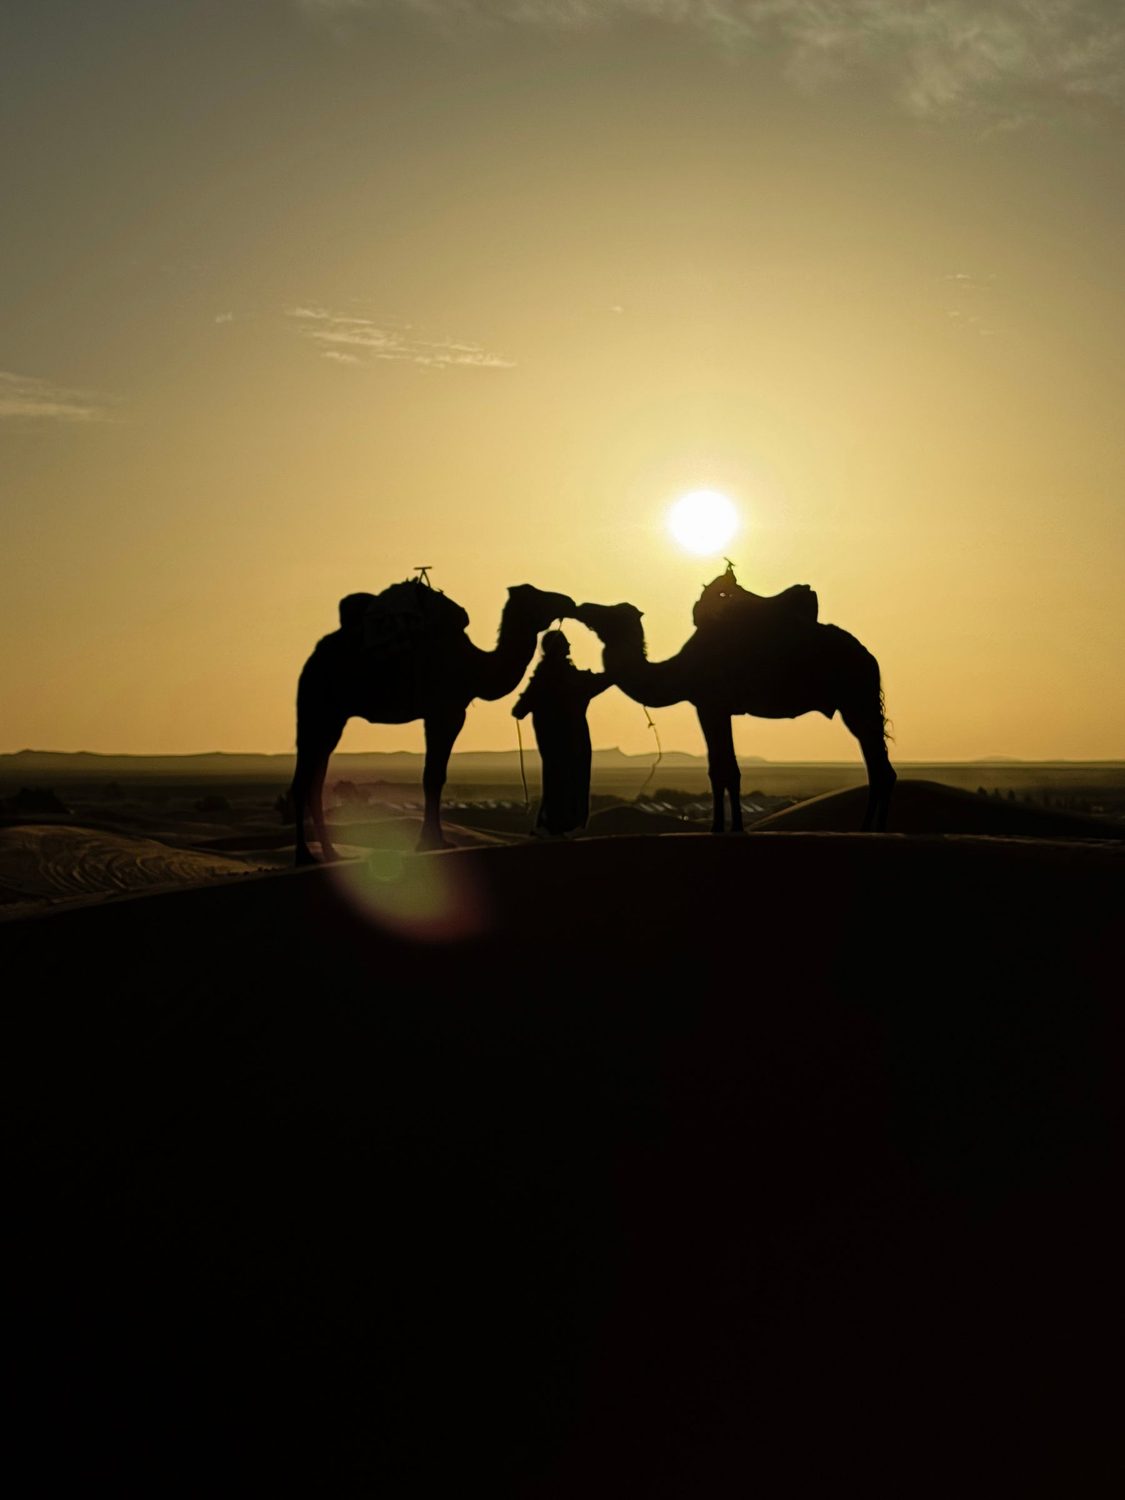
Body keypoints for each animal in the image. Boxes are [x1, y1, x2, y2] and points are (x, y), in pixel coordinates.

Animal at [292, 580, 575, 862]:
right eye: (537, 595)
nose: (568, 601)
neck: (475, 666)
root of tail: (313, 658)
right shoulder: (446, 712)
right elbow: (434, 776)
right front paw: (432, 841)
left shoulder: (437, 713)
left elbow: (433, 775)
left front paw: (432, 840)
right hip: (319, 710)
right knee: (303, 780)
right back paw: (306, 855)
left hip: (331, 719)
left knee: (315, 779)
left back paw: (332, 853)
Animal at [574, 587, 895, 833]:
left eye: (611, 612)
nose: (583, 606)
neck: (679, 669)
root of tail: (870, 657)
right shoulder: (715, 708)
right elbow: (725, 768)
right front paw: (729, 826)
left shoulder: (709, 705)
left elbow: (722, 770)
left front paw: (722, 828)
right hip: (856, 704)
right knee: (877, 765)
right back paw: (870, 827)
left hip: (857, 699)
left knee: (880, 766)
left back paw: (873, 828)